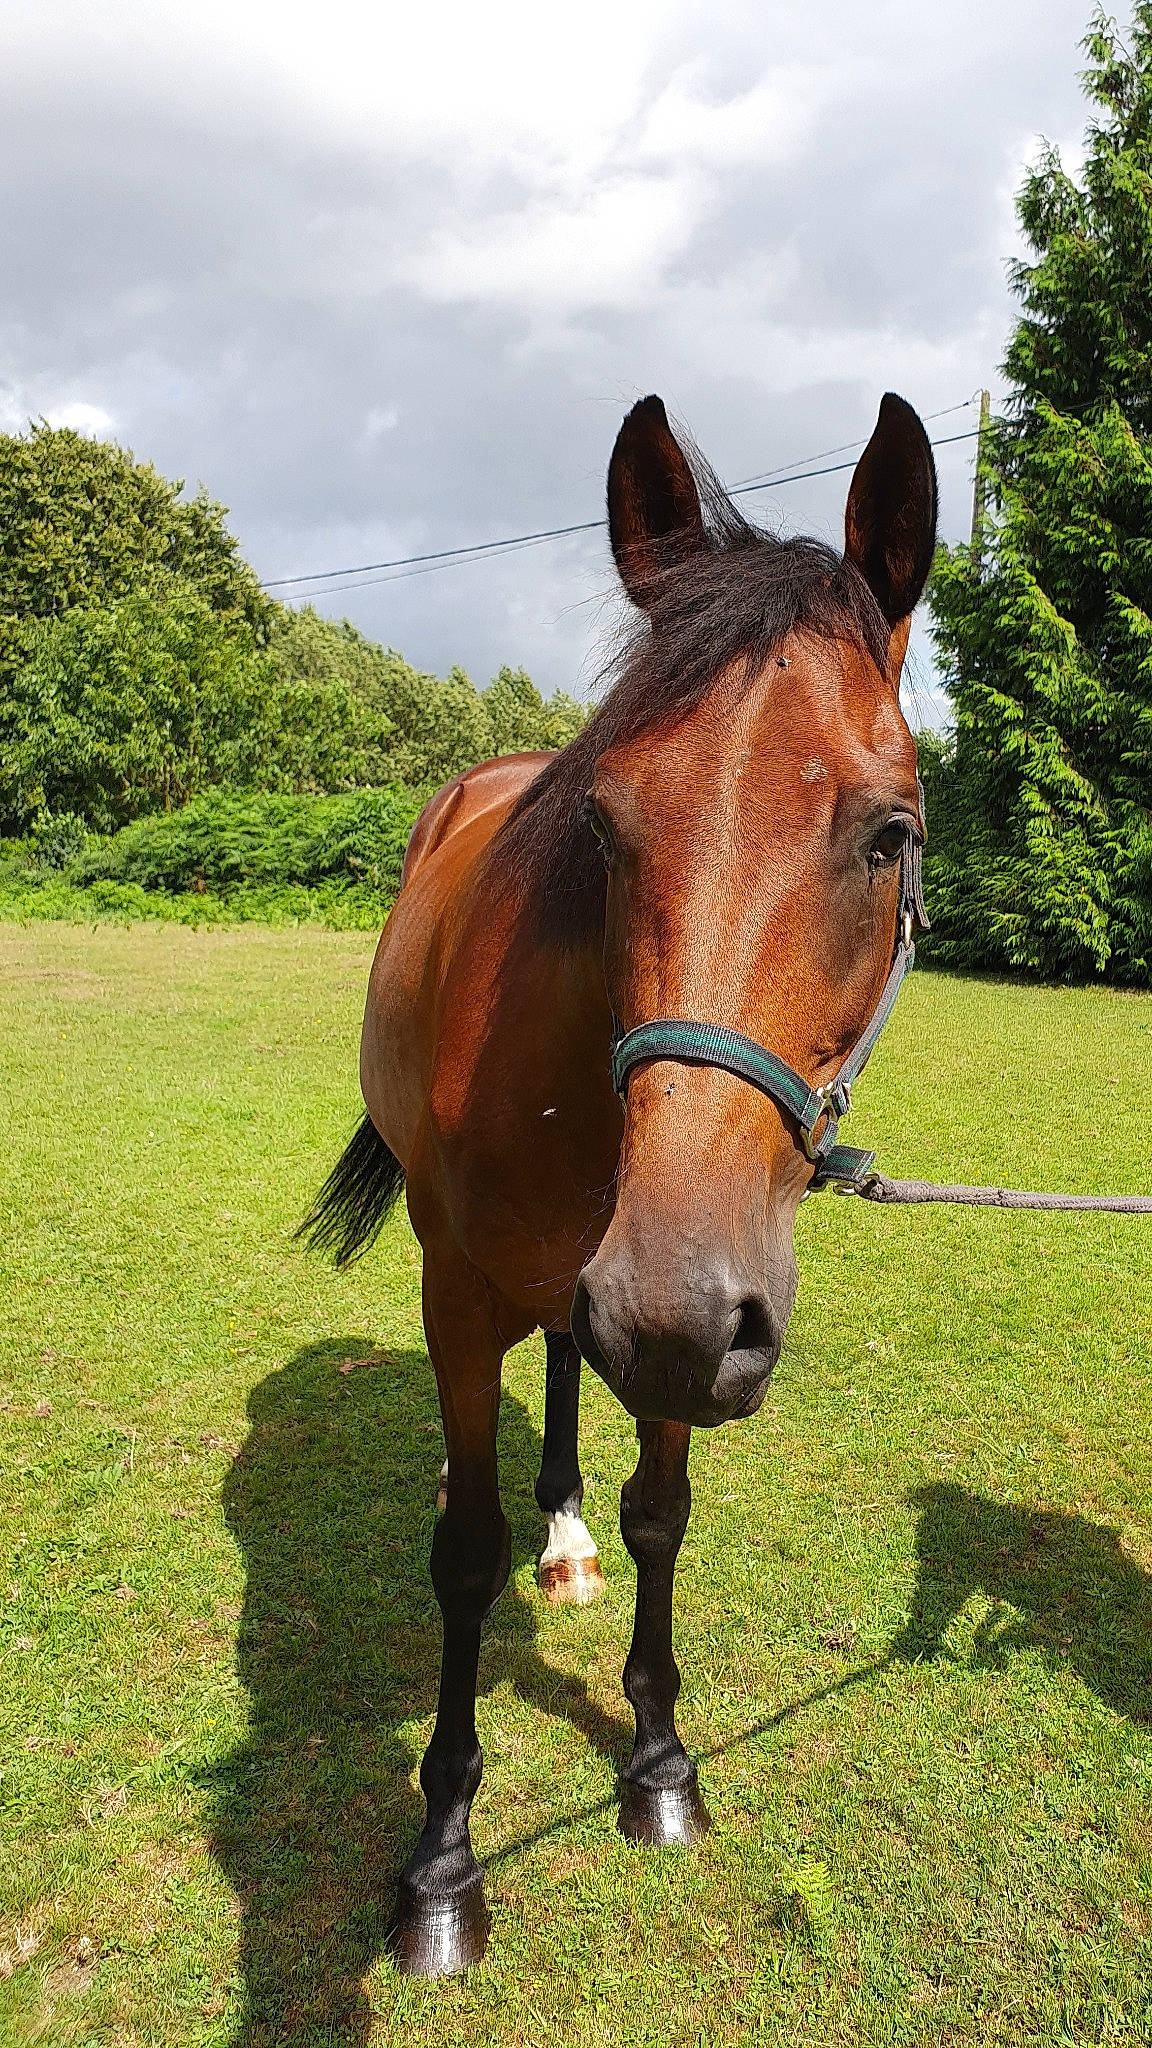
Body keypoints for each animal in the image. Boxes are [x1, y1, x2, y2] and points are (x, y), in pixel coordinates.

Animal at [302, 389, 938, 1976]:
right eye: (602, 825)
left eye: (889, 833)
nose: (664, 1304)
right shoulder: (465, 1293)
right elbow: (462, 1552)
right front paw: (441, 1864)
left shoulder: (690, 1321)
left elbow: (663, 1512)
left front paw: (656, 1761)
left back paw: (572, 1528)